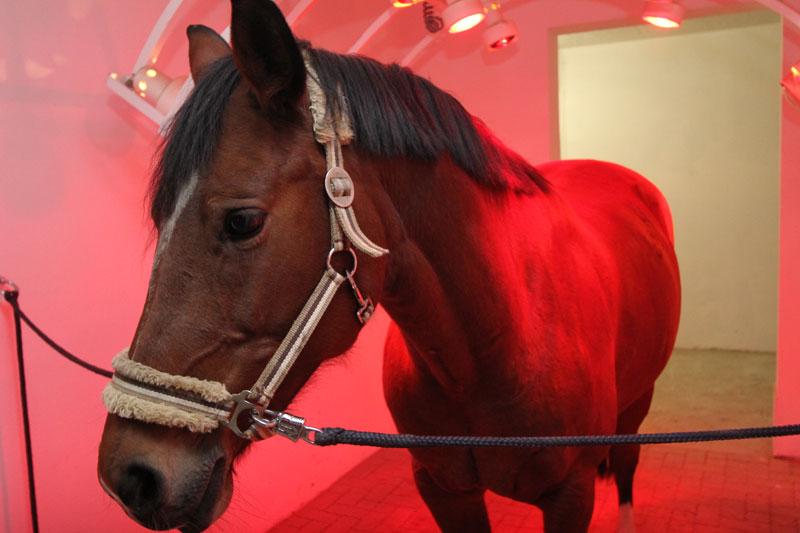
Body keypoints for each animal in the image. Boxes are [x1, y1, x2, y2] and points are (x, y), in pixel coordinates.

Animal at [95, 2, 680, 528]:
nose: (129, 477)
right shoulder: (442, 489)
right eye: (159, 217)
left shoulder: (570, 496)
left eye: (242, 221)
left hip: (638, 411)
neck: (494, 349)